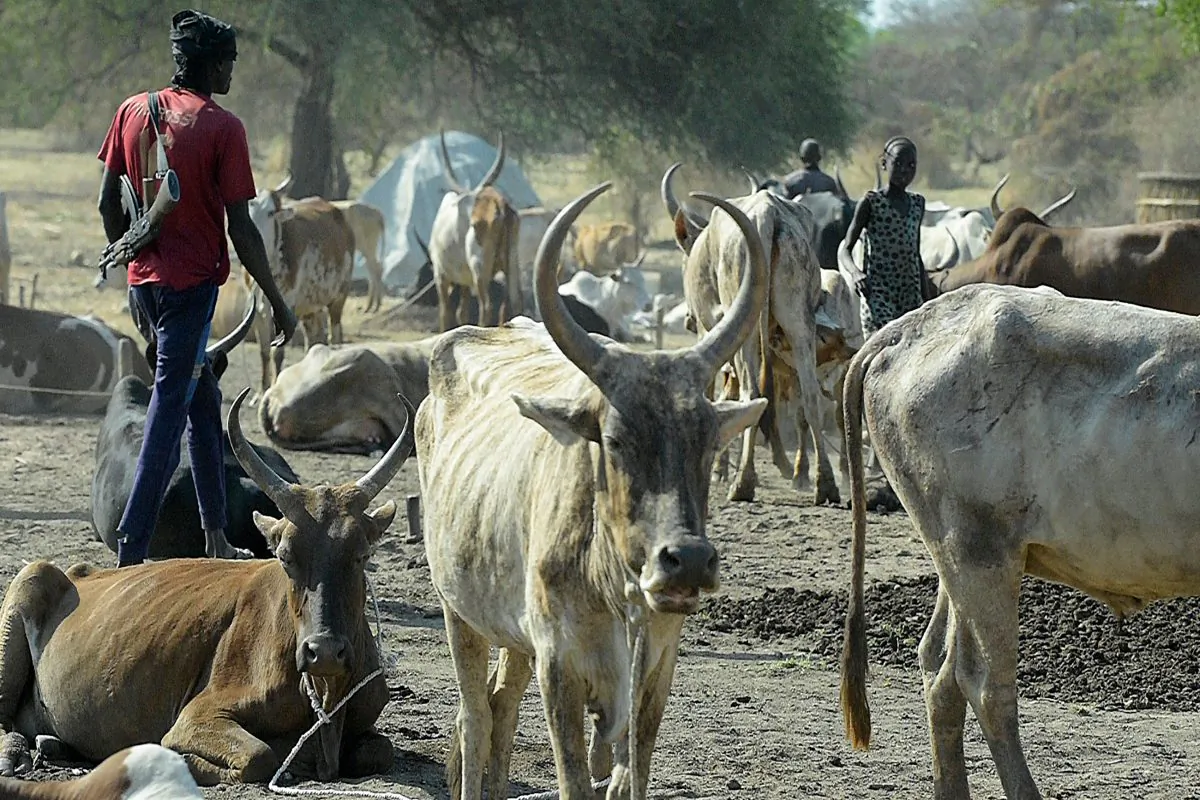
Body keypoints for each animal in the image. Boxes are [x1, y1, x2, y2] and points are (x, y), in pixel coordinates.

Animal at [0, 387, 414, 785]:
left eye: (361, 554)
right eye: (284, 556)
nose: (324, 652)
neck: (326, 695)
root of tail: (78, 571)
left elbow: (378, 751)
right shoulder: (198, 717)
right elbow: (259, 757)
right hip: (29, 579)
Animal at [244, 175, 355, 390]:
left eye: (270, 212)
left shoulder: (288, 306)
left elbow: (277, 353)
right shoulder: (259, 312)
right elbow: (264, 352)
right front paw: (262, 390)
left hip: (339, 297)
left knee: (335, 335)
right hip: (311, 307)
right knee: (314, 341)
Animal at [416, 183, 768, 800]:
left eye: (705, 439)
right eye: (615, 438)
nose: (687, 560)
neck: (611, 583)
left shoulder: (656, 666)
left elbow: (631, 775)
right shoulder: (559, 666)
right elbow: (574, 778)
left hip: (513, 631)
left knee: (502, 704)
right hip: (458, 611)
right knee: (475, 716)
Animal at [429, 131, 522, 331]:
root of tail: (500, 204)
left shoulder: (440, 275)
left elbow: (445, 314)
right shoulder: (464, 281)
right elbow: (462, 312)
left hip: (479, 267)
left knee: (486, 306)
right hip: (511, 263)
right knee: (514, 301)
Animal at [664, 162, 838, 505]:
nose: (688, 319)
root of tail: (767, 215)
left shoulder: (710, 331)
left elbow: (716, 392)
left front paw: (717, 469)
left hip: (747, 328)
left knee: (753, 392)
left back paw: (743, 482)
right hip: (798, 321)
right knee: (809, 395)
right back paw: (824, 483)